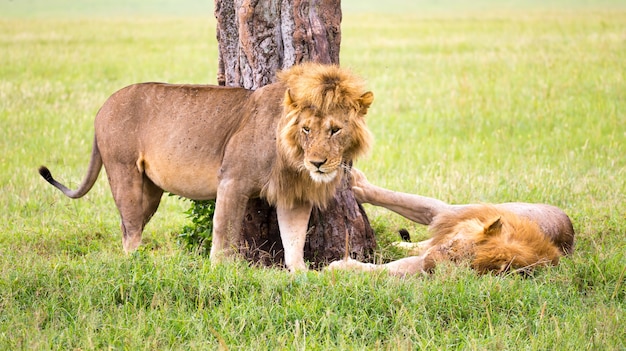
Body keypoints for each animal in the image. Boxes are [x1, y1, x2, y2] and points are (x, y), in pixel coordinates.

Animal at [39, 64, 372, 272]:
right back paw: (136, 264)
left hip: (150, 191)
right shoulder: (232, 179)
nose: (317, 162)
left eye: (335, 130)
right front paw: (218, 271)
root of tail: (102, 107)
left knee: (130, 225)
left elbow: (293, 239)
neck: (293, 156)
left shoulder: (295, 196)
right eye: (306, 129)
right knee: (130, 229)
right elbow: (224, 231)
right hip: (124, 172)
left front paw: (300, 273)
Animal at [326, 169, 576, 276]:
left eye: (461, 265)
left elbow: (387, 269)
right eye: (452, 246)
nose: (429, 265)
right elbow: (404, 199)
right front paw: (356, 183)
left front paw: (341, 268)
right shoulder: (446, 213)